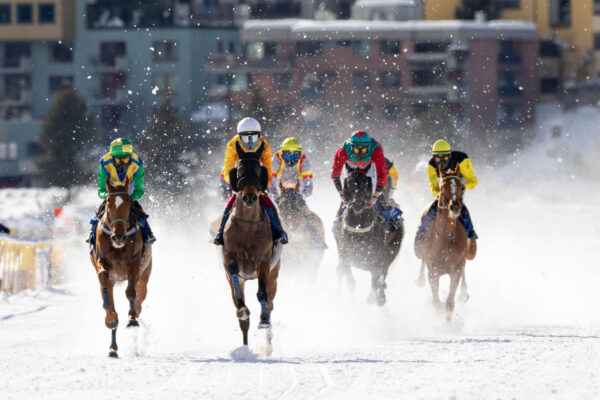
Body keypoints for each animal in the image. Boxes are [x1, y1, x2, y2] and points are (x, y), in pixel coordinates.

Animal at [91, 177, 154, 358]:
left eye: (128, 202)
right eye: (109, 203)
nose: (118, 237)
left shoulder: (134, 264)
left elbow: (131, 292)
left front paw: (132, 320)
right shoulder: (102, 261)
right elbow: (104, 280)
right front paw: (110, 318)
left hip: (145, 274)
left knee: (139, 301)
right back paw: (113, 347)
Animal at [223, 141, 282, 354]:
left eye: (258, 169)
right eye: (239, 168)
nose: (249, 197)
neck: (248, 226)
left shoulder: (264, 261)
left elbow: (262, 294)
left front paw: (263, 320)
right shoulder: (228, 255)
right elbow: (232, 267)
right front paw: (242, 308)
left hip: (274, 275)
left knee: (270, 302)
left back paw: (267, 338)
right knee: (241, 314)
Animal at [414, 164, 476, 320]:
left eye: (461, 187)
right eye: (442, 187)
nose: (455, 207)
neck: (445, 238)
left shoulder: (456, 268)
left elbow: (449, 301)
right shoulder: (433, 270)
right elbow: (436, 302)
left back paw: (464, 292)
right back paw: (420, 279)